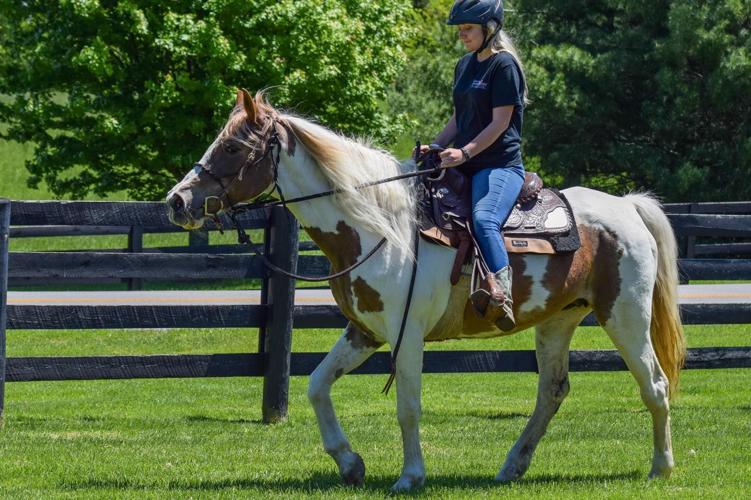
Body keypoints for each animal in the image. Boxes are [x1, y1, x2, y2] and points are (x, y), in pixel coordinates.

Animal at [166, 89, 686, 492]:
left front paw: (410, 476)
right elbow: (316, 386)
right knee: (552, 391)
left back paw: (661, 467)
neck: (380, 227)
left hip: (625, 316)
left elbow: (408, 407)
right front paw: (350, 464)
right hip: (559, 320)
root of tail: (626, 206)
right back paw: (512, 466)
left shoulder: (407, 335)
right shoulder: (364, 331)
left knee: (655, 385)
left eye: (233, 148)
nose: (176, 201)